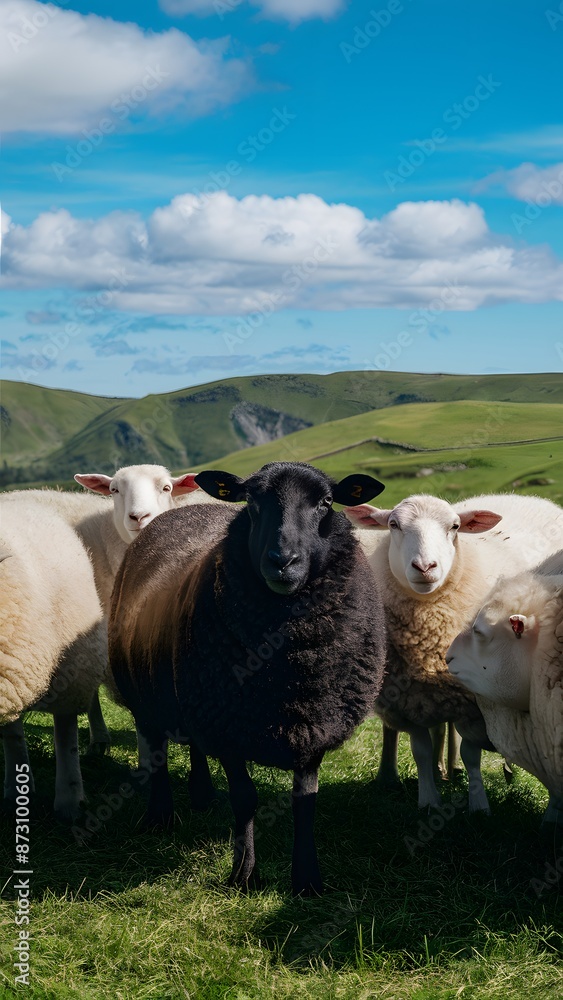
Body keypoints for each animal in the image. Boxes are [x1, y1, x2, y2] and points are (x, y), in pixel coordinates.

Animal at [108, 462, 387, 895]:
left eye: (326, 501)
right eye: (252, 501)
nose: (282, 561)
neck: (291, 670)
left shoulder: (314, 724)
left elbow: (305, 801)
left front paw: (307, 879)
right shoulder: (228, 728)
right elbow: (245, 798)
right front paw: (243, 874)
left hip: (196, 694)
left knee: (193, 744)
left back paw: (202, 794)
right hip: (150, 696)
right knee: (155, 749)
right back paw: (160, 816)